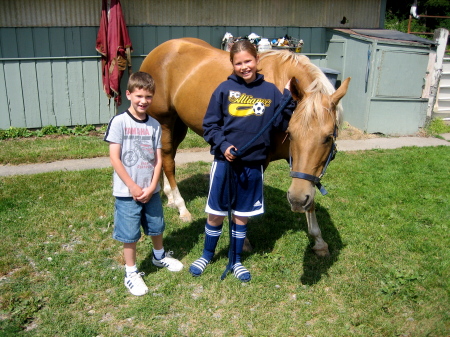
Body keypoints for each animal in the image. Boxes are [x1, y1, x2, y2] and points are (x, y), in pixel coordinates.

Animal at [139, 38, 350, 256]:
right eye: (291, 133)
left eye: (328, 138)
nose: (297, 201)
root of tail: (160, 49)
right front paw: (243, 239)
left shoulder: (303, 170)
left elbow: (310, 195)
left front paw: (319, 241)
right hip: (165, 122)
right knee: (168, 161)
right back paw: (182, 208)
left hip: (178, 125)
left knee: (167, 158)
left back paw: (171, 198)